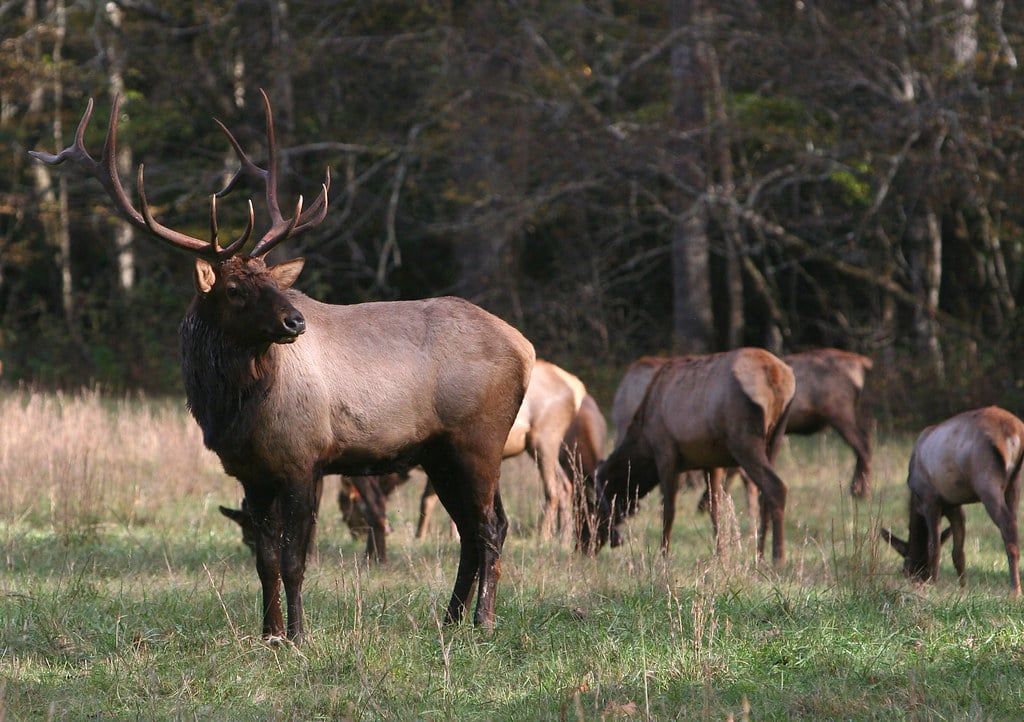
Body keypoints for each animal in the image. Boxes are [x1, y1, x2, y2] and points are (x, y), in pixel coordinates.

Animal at [31, 92, 535, 642]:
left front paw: (298, 635)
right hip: (439, 452)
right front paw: (269, 633)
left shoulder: (301, 459)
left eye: (274, 281)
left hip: (478, 438)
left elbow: (296, 559)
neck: (232, 412)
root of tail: (525, 348)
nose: (296, 321)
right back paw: (448, 619)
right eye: (235, 289)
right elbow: (265, 559)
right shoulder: (251, 472)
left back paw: (483, 621)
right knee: (470, 529)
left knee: (490, 527)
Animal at [584, 349, 795, 562]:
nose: (583, 545)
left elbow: (668, 510)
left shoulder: (665, 452)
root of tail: (779, 380)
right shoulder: (711, 462)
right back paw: (760, 555)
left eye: (589, 509)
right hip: (775, 439)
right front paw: (721, 555)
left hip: (744, 441)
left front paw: (663, 555)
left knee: (776, 487)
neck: (643, 441)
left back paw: (777, 558)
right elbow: (714, 508)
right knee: (764, 495)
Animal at [880, 406, 1024, 597]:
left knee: (1007, 526)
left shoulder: (930, 499)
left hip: (986, 479)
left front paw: (934, 584)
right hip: (1015, 481)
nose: (917, 581)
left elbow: (934, 546)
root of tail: (1015, 432)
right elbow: (958, 552)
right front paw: (963, 588)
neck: (915, 501)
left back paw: (1015, 590)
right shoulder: (954, 505)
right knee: (1014, 523)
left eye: (906, 569)